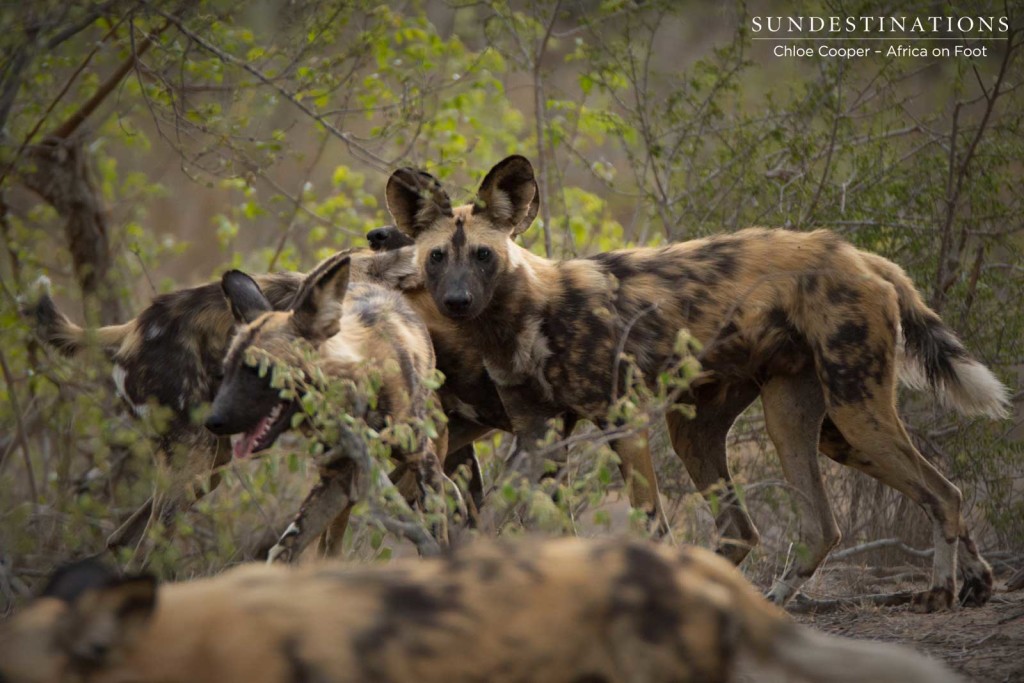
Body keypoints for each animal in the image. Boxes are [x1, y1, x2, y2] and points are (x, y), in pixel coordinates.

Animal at [203, 253, 448, 565]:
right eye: (226, 373)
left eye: (261, 370)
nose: (213, 421)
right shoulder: (337, 477)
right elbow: (285, 548)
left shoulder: (425, 462)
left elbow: (435, 538)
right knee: (332, 540)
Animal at [382, 156, 1007, 614]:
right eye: (436, 258)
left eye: (483, 255)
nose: (456, 301)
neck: (523, 318)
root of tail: (854, 252)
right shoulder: (537, 437)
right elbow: (501, 521)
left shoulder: (623, 423)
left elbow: (649, 524)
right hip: (773, 425)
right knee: (798, 528)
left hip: (853, 411)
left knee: (942, 495)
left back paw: (939, 593)